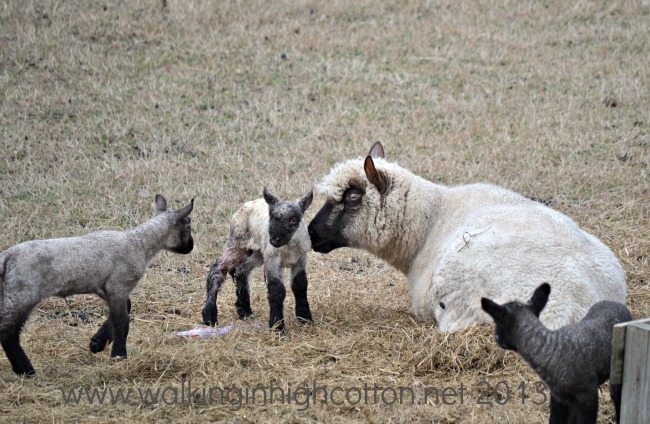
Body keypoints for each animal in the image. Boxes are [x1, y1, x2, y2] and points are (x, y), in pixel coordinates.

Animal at [0, 195, 194, 376]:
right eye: (188, 227)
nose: (191, 247)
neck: (139, 243)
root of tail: (6, 256)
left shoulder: (105, 288)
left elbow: (123, 311)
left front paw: (97, 343)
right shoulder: (118, 286)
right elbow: (122, 320)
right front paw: (119, 355)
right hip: (22, 295)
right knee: (8, 333)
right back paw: (26, 370)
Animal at [202, 188, 313, 333]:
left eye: (293, 220)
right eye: (272, 216)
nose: (274, 239)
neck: (288, 245)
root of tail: (246, 204)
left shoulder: (300, 259)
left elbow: (300, 285)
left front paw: (305, 318)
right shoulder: (272, 260)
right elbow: (276, 290)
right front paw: (277, 327)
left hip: (257, 252)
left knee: (241, 270)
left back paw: (244, 311)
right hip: (237, 242)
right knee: (218, 269)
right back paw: (209, 316)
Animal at [481, 283, 632, 424]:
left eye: (496, 323)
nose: (497, 339)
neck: (553, 351)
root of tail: (616, 303)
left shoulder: (587, 397)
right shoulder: (559, 398)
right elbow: (555, 420)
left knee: (618, 397)